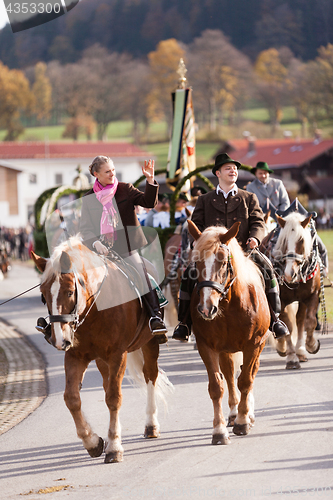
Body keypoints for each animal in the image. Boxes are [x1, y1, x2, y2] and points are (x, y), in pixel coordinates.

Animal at [31, 238, 172, 464]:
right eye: (44, 296)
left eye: (69, 292)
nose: (59, 340)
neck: (95, 308)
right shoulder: (75, 356)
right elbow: (72, 398)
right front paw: (93, 442)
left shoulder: (117, 355)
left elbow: (114, 398)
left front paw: (114, 447)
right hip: (101, 360)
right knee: (107, 385)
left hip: (149, 343)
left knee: (150, 376)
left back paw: (151, 425)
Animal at [187, 221, 270, 444]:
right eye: (196, 262)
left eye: (223, 262)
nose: (206, 309)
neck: (230, 305)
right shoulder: (206, 346)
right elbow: (217, 387)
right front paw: (219, 430)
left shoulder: (254, 344)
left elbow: (246, 381)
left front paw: (242, 421)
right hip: (225, 349)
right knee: (230, 374)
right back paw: (233, 414)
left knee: (248, 373)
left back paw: (246, 414)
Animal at [260, 213, 320, 370]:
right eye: (284, 240)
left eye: (301, 240)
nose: (289, 274)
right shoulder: (281, 300)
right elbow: (288, 325)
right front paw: (291, 356)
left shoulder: (312, 295)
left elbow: (309, 321)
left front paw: (311, 345)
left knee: (300, 320)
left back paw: (301, 350)